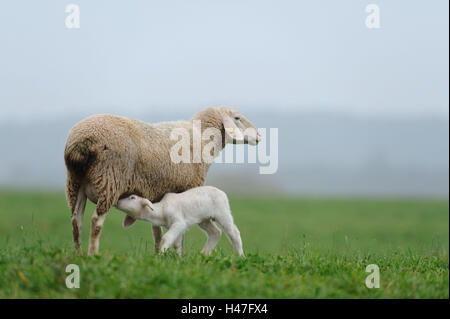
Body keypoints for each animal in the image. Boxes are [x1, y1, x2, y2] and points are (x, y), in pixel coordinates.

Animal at [114, 188, 244, 258]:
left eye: (132, 197)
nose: (117, 202)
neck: (161, 211)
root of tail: (222, 192)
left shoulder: (179, 223)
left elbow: (166, 238)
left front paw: (161, 254)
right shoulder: (174, 226)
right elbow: (176, 244)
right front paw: (178, 258)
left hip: (223, 212)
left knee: (234, 233)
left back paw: (241, 256)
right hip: (204, 219)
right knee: (215, 233)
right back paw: (203, 254)